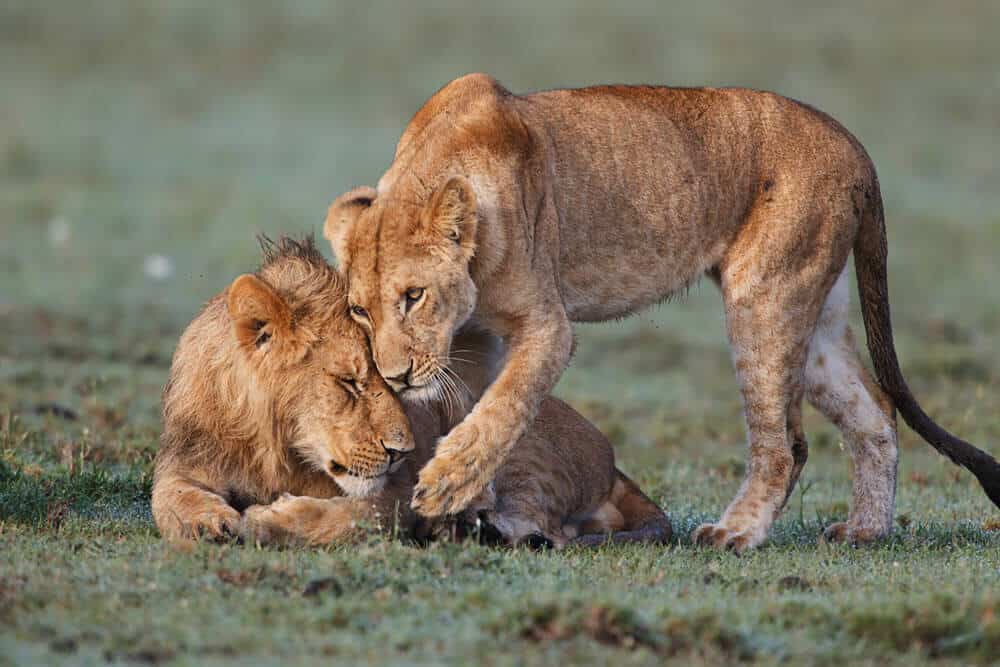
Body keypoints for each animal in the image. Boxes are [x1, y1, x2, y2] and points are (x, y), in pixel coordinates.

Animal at [154, 237, 672, 552]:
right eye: (350, 383)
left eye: (395, 386)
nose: (400, 451)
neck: (274, 448)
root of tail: (612, 460)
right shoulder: (185, 460)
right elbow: (168, 497)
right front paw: (206, 522)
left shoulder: (403, 490)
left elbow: (360, 516)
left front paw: (268, 520)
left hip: (507, 447)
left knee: (547, 531)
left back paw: (469, 528)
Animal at [326, 73, 1000, 552]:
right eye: (359, 311)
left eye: (413, 296)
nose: (395, 377)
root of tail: (855, 146)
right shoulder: (473, 341)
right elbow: (479, 411)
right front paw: (470, 500)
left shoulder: (547, 326)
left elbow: (503, 407)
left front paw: (446, 483)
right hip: (816, 315)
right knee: (875, 411)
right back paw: (867, 530)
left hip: (763, 295)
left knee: (786, 442)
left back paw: (737, 533)